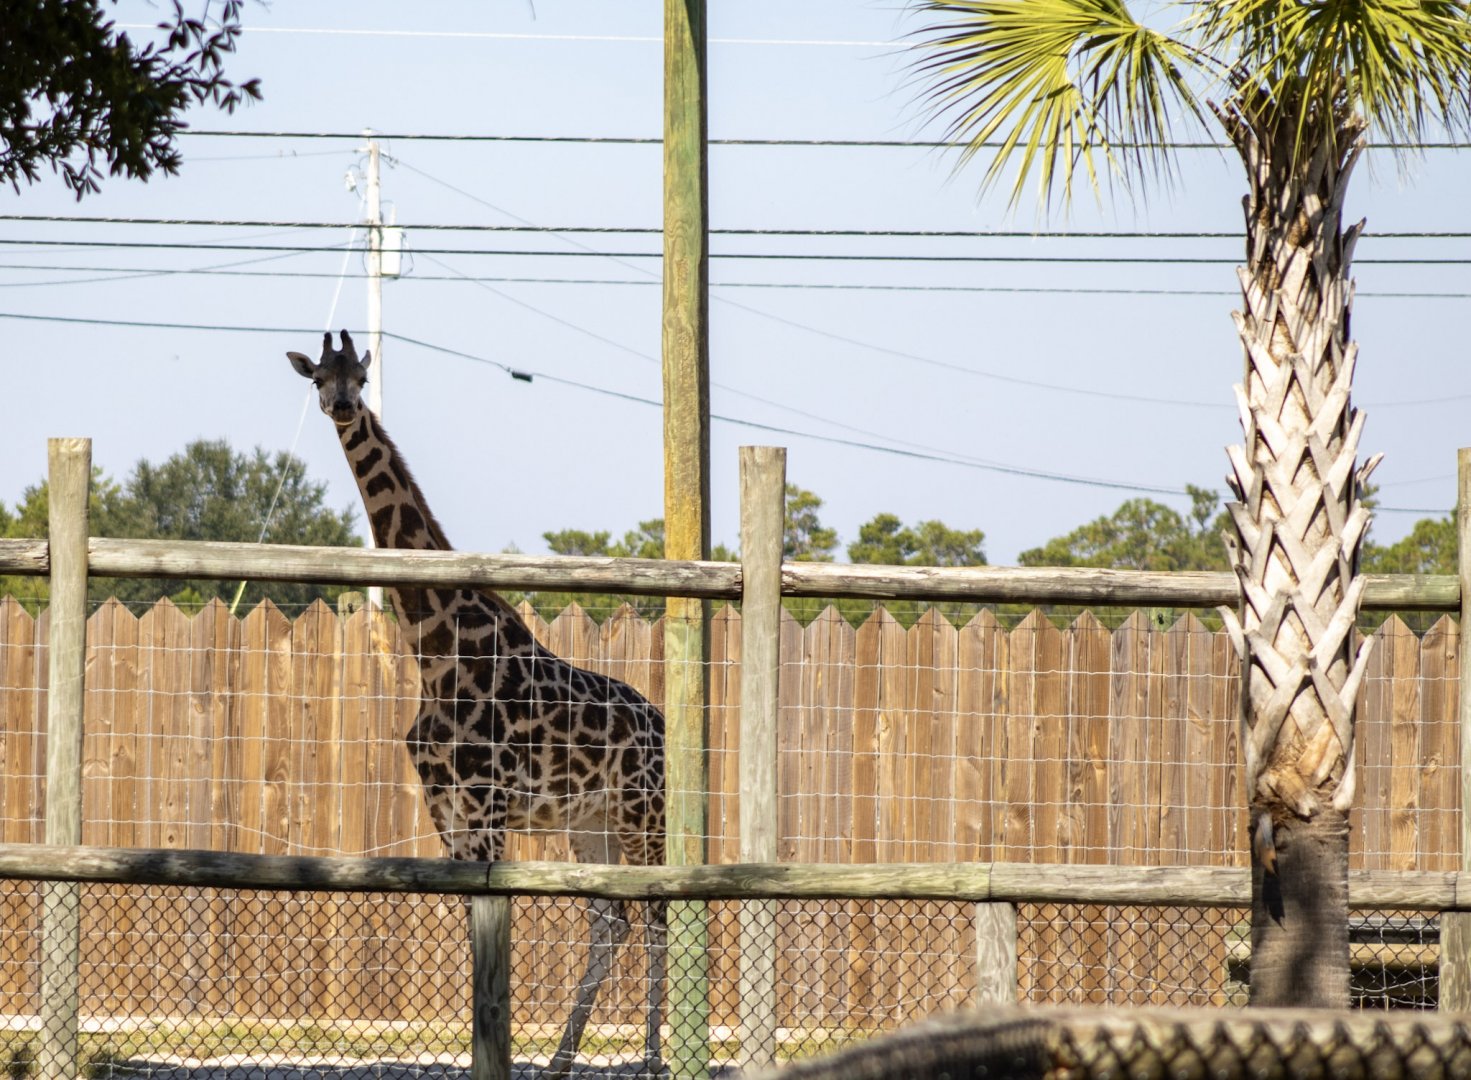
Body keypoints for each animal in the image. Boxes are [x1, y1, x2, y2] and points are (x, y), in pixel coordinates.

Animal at [288, 331, 667, 1079]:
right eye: (318, 376)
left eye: (361, 377)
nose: (342, 407)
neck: (434, 652)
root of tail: (662, 722)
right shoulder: (447, 812)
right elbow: (471, 931)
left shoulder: (489, 808)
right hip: (591, 822)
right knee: (611, 923)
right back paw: (560, 1061)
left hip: (643, 810)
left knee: (660, 916)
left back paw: (653, 1060)